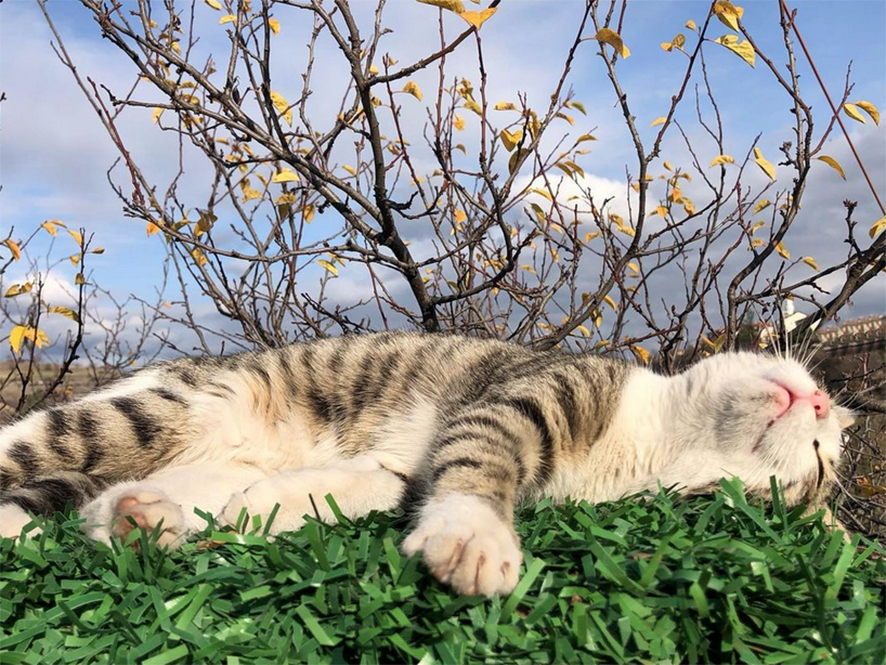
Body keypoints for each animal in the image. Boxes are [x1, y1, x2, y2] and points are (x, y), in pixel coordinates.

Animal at [0, 332, 848, 596]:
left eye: (812, 469)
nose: (815, 403)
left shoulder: (399, 471)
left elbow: (362, 485)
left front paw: (269, 508)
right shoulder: (525, 393)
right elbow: (481, 457)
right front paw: (474, 534)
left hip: (182, 455)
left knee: (108, 495)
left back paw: (140, 518)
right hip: (152, 410)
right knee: (30, 448)